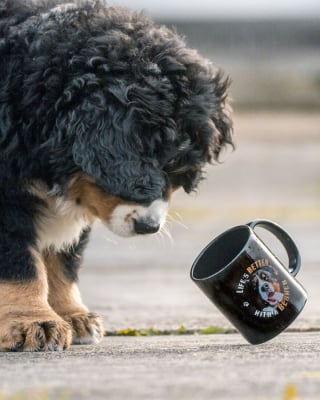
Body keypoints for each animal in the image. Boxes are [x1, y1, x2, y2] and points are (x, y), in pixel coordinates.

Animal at [0, 0, 231, 350]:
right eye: (137, 169)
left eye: (177, 173)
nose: (149, 227)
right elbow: (20, 263)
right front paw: (32, 322)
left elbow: (63, 261)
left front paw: (72, 316)